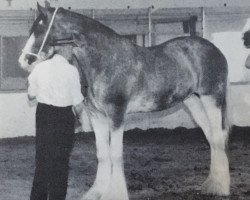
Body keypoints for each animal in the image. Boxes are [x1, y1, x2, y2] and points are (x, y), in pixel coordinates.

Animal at [18, 3, 231, 199]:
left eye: (41, 29)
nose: (24, 60)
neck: (106, 61)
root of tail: (215, 50)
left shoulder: (116, 114)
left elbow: (115, 154)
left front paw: (117, 194)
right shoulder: (97, 116)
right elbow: (102, 154)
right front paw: (97, 192)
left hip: (212, 98)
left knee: (217, 137)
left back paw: (221, 187)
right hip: (192, 101)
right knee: (211, 136)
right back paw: (211, 183)